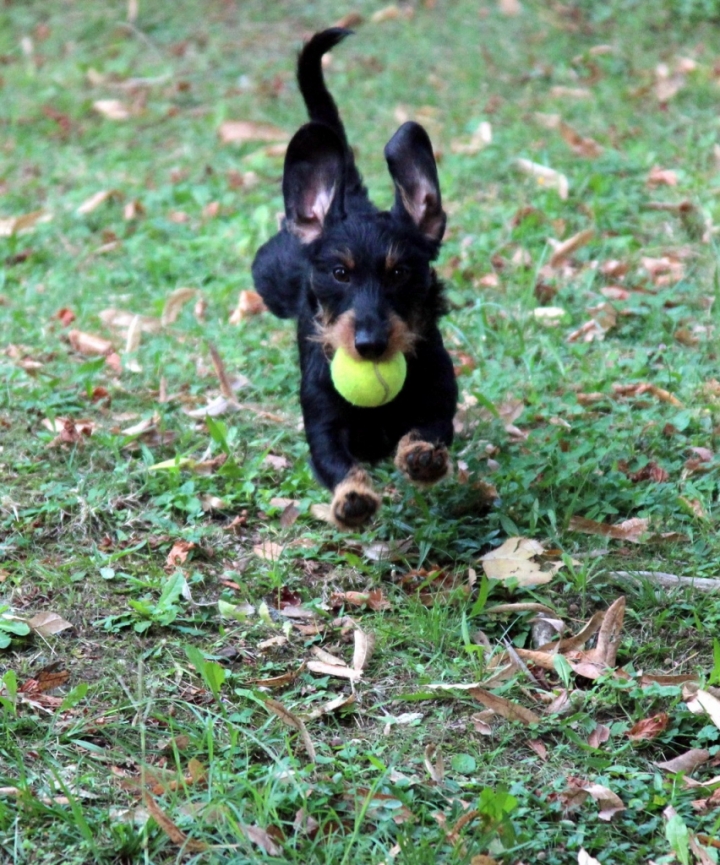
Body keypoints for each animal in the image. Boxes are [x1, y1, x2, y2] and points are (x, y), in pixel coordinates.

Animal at [252, 27, 456, 528]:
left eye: (400, 273)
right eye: (340, 273)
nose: (370, 345)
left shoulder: (440, 392)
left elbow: (433, 427)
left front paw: (422, 457)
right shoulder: (321, 421)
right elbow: (334, 460)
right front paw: (354, 497)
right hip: (268, 272)